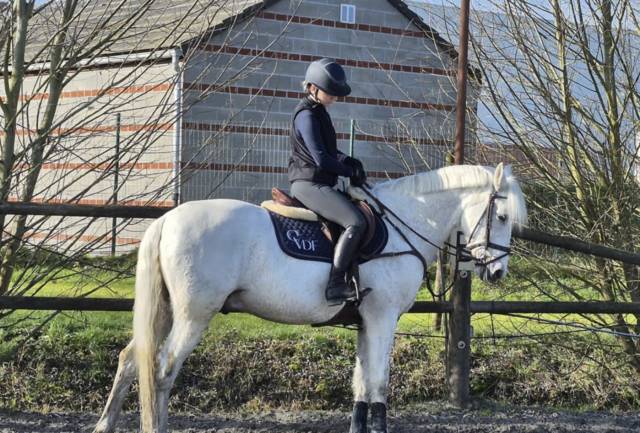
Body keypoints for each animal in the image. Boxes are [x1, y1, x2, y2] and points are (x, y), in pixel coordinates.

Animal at [92, 163, 527, 433]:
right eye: (502, 217)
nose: (497, 273)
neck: (403, 224)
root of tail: (167, 219)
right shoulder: (383, 319)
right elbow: (379, 383)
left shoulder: (365, 323)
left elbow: (360, 385)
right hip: (192, 316)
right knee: (163, 371)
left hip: (166, 311)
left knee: (131, 360)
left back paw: (105, 424)